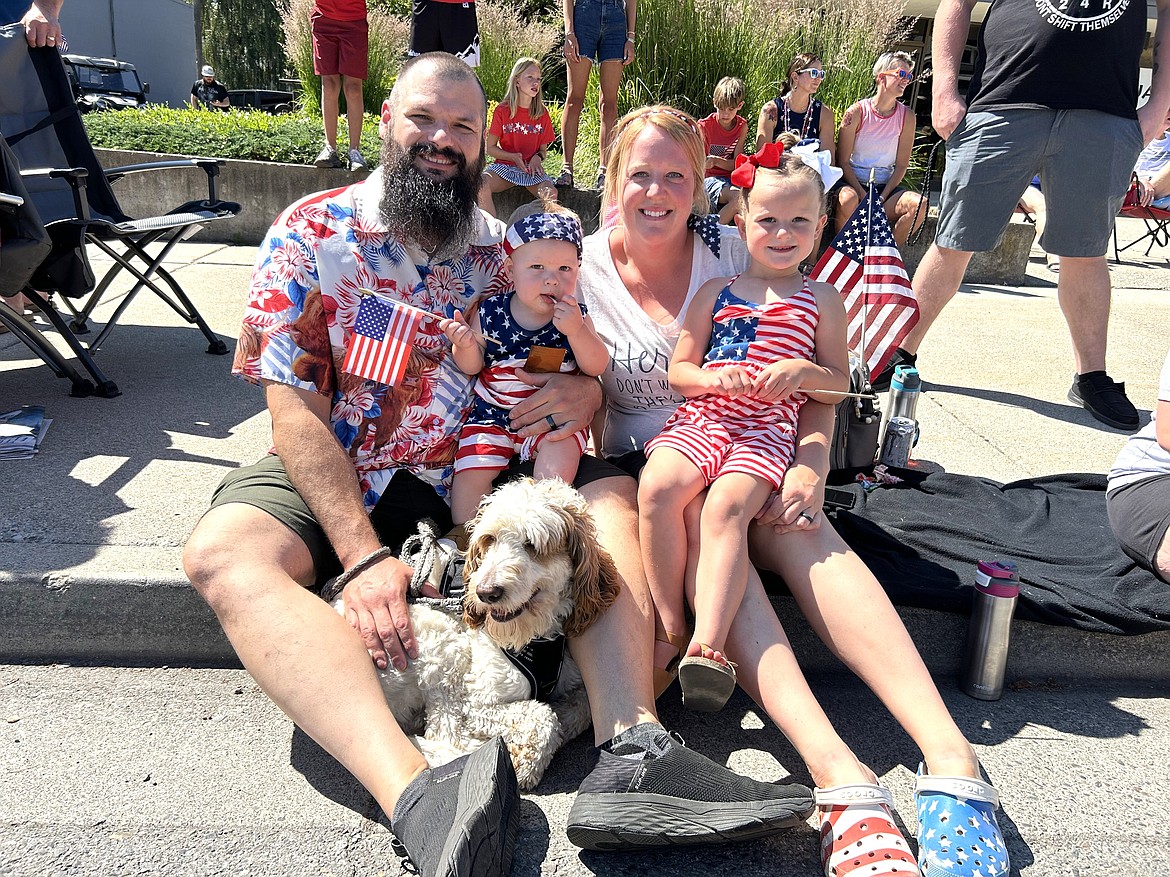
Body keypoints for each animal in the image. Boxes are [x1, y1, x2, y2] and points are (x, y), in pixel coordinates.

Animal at [334, 477, 622, 795]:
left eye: (531, 544)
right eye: (489, 540)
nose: (485, 593)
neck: (535, 634)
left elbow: (583, 706)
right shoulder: (473, 702)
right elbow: (541, 715)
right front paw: (525, 763)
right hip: (440, 639)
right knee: (446, 734)